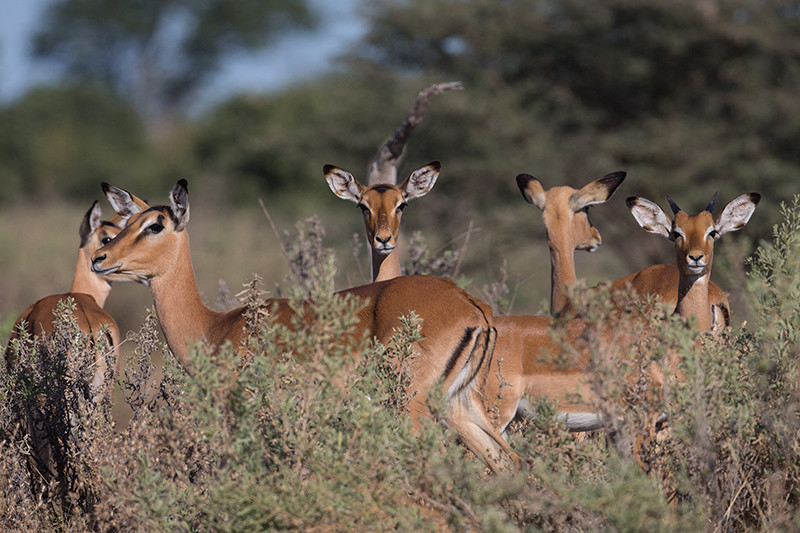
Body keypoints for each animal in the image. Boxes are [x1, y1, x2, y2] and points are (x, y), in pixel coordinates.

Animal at [91, 180, 517, 472]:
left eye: (155, 226)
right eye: (128, 221)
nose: (100, 257)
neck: (214, 328)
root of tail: (470, 305)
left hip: (413, 408)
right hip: (461, 407)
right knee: (510, 464)